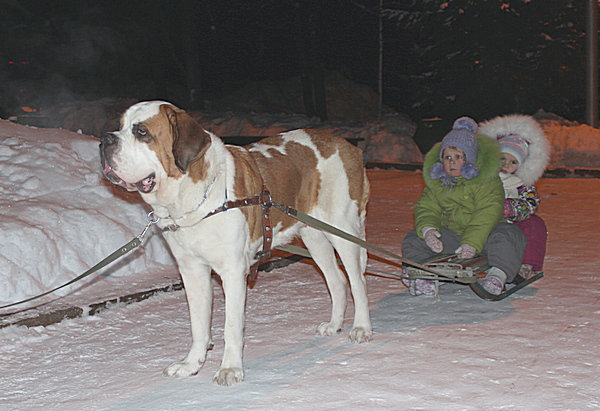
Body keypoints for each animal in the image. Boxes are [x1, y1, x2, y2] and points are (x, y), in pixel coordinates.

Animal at [98, 100, 370, 386]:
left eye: (141, 132)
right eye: (120, 126)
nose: (105, 140)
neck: (195, 199)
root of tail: (347, 145)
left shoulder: (233, 271)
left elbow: (231, 326)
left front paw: (229, 369)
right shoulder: (192, 271)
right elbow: (198, 323)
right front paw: (191, 364)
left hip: (343, 229)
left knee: (357, 282)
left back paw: (361, 328)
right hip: (314, 236)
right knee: (337, 281)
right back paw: (334, 325)